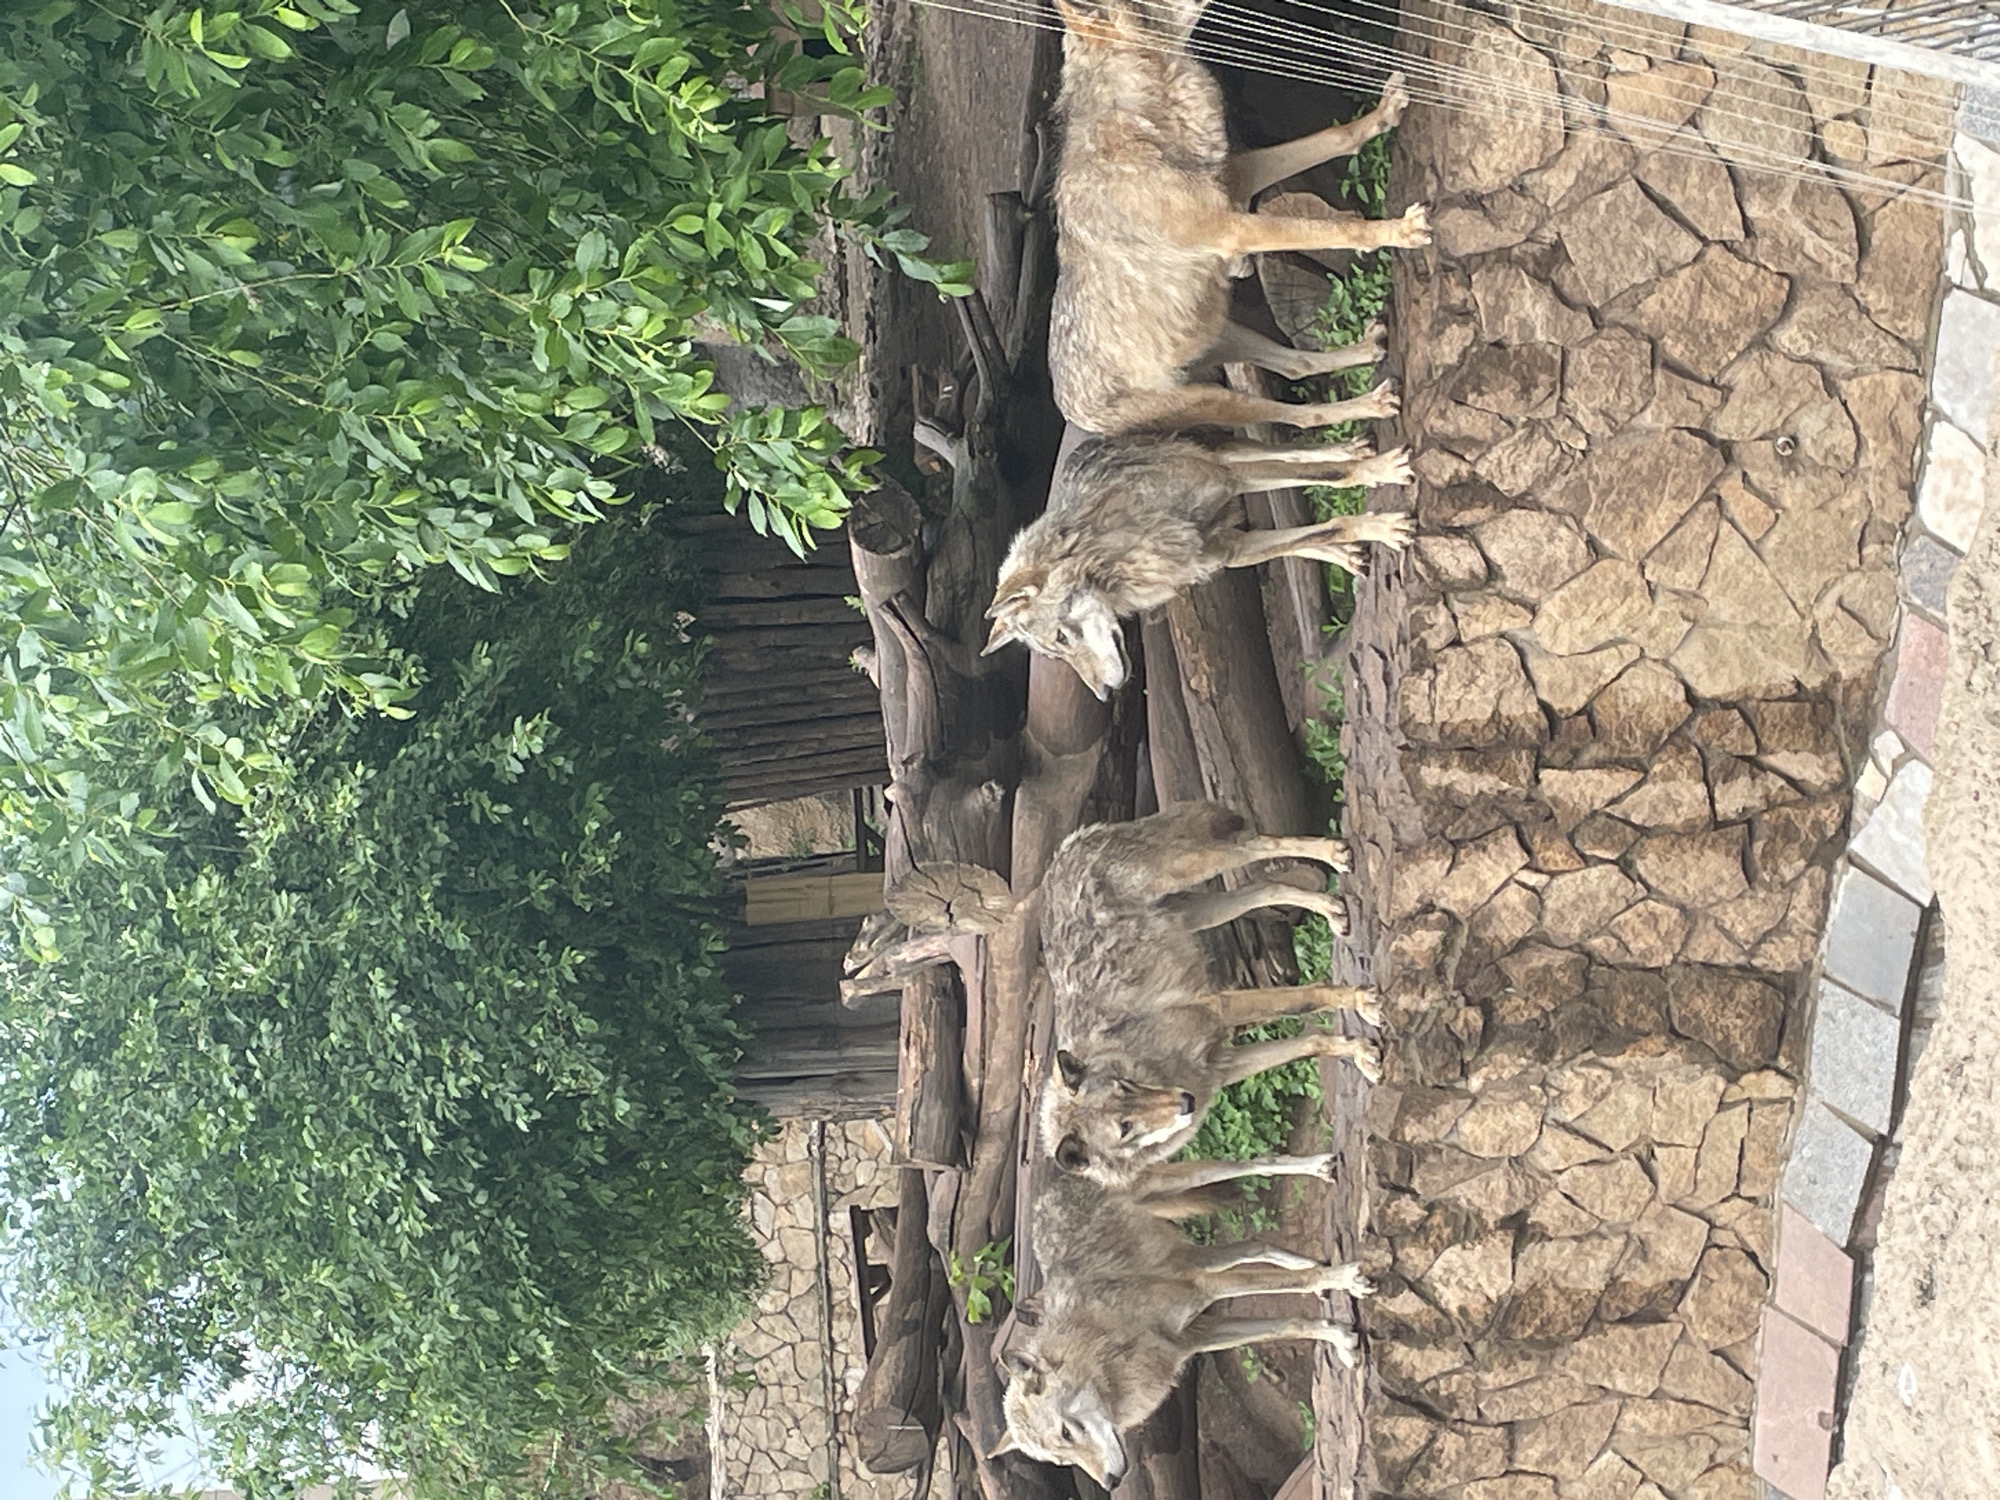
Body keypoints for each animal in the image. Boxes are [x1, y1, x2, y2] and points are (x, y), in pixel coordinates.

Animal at [984, 432, 1417, 694]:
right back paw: (1345, 551)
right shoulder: (1230, 550)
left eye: (1060, 638)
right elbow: (1319, 533)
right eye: (1057, 656)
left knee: (1287, 449)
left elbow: (1333, 475)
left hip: (1224, 456)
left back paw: (1352, 445)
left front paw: (1379, 474)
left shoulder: (1231, 478)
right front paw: (1370, 528)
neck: (1116, 552)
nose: (1105, 695)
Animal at [994, 1170, 1372, 1485]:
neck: (1109, 1345)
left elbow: (1296, 1285)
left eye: (1065, 1433)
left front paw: (1343, 1279)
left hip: (1189, 1232)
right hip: (1193, 1258)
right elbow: (1288, 1325)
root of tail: (1049, 1189)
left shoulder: (1203, 1289)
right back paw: (1311, 1261)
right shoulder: (1197, 1335)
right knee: (1254, 1245)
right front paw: (1339, 1336)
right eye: (1061, 1461)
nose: (1110, 1483)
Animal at [1038, 802, 1381, 1182]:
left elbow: (1310, 998)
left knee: (1257, 848)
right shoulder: (1220, 1066)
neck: (1139, 1055)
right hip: (1202, 910)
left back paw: (1333, 854)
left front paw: (1362, 1003)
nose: (1185, 1102)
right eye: (1125, 1128)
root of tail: (1064, 850)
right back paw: (1331, 909)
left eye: (1125, 1086)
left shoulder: (1218, 1010)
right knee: (1265, 887)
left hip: (1194, 867)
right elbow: (1312, 1040)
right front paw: (1361, 1053)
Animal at [1050, 0, 1430, 435]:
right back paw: (1371, 408)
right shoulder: (1234, 228)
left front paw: (1384, 113)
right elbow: (1332, 228)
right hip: (1218, 398)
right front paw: (1400, 230)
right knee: (1300, 417)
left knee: (1298, 366)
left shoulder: (1239, 177)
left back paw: (1370, 349)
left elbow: (1334, 138)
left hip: (1225, 333)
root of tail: (1074, 413)